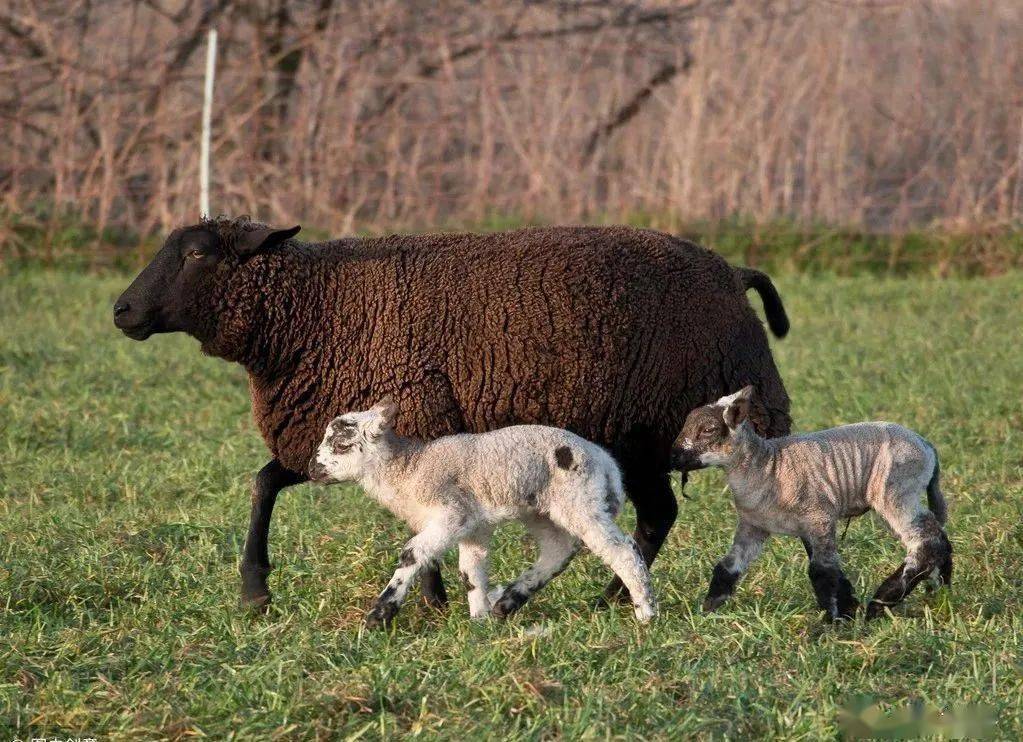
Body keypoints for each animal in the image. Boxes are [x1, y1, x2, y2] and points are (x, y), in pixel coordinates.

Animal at [306, 399, 654, 626]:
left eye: (341, 445)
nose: (312, 469)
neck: (409, 469)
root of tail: (606, 462)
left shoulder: (452, 513)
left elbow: (413, 552)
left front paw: (379, 616)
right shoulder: (474, 524)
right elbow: (471, 570)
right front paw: (479, 622)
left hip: (580, 500)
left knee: (622, 550)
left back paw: (646, 613)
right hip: (542, 509)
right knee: (559, 549)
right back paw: (507, 603)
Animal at [671, 384, 949, 622]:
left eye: (708, 430)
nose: (672, 457)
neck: (768, 467)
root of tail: (927, 445)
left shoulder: (819, 518)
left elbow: (822, 572)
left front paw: (831, 623)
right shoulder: (753, 526)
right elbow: (728, 566)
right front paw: (707, 610)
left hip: (897, 490)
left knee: (924, 542)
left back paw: (881, 602)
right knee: (939, 535)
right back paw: (940, 590)